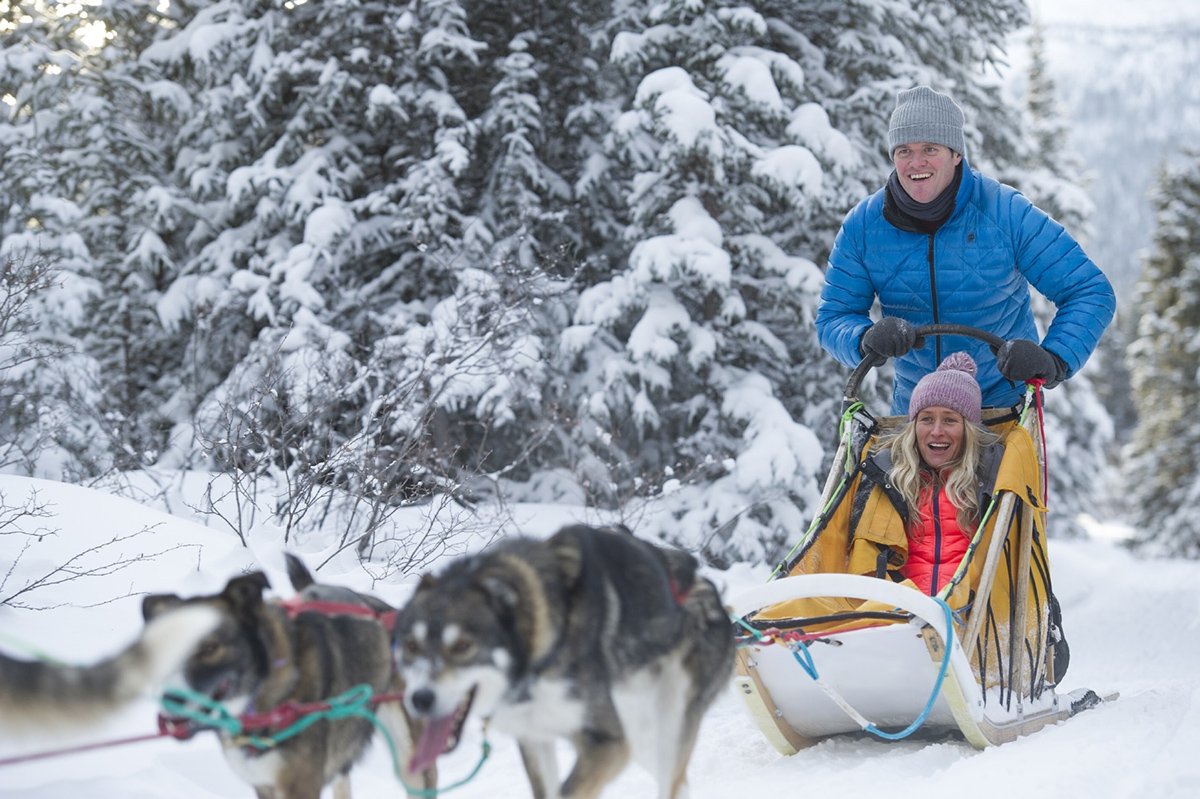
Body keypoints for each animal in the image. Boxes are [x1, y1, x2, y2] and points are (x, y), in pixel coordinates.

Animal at [144, 554, 436, 796]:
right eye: (168, 647)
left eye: (210, 647)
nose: (171, 699)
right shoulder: (264, 784)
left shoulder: (300, 787)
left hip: (410, 759)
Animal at [393, 523, 734, 796]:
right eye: (411, 645)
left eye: (463, 645)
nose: (420, 699)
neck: (537, 662)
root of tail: (708, 589)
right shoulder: (534, 739)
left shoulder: (608, 743)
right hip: (642, 733)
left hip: (667, 725)